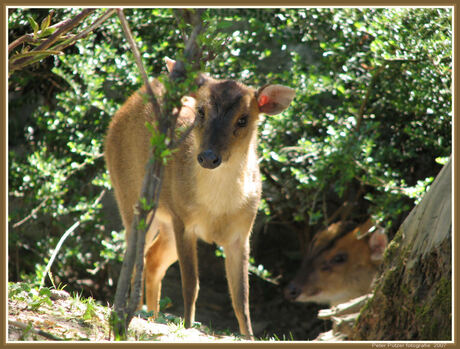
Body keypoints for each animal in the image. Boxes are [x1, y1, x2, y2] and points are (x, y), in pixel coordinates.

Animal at [104, 58, 294, 336]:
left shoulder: (242, 233)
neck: (217, 209)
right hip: (130, 197)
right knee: (135, 256)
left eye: (243, 119)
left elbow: (242, 298)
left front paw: (249, 335)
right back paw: (134, 312)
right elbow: (191, 286)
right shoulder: (183, 221)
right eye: (201, 112)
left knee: (153, 259)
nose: (208, 157)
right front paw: (187, 325)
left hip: (165, 222)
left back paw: (151, 315)